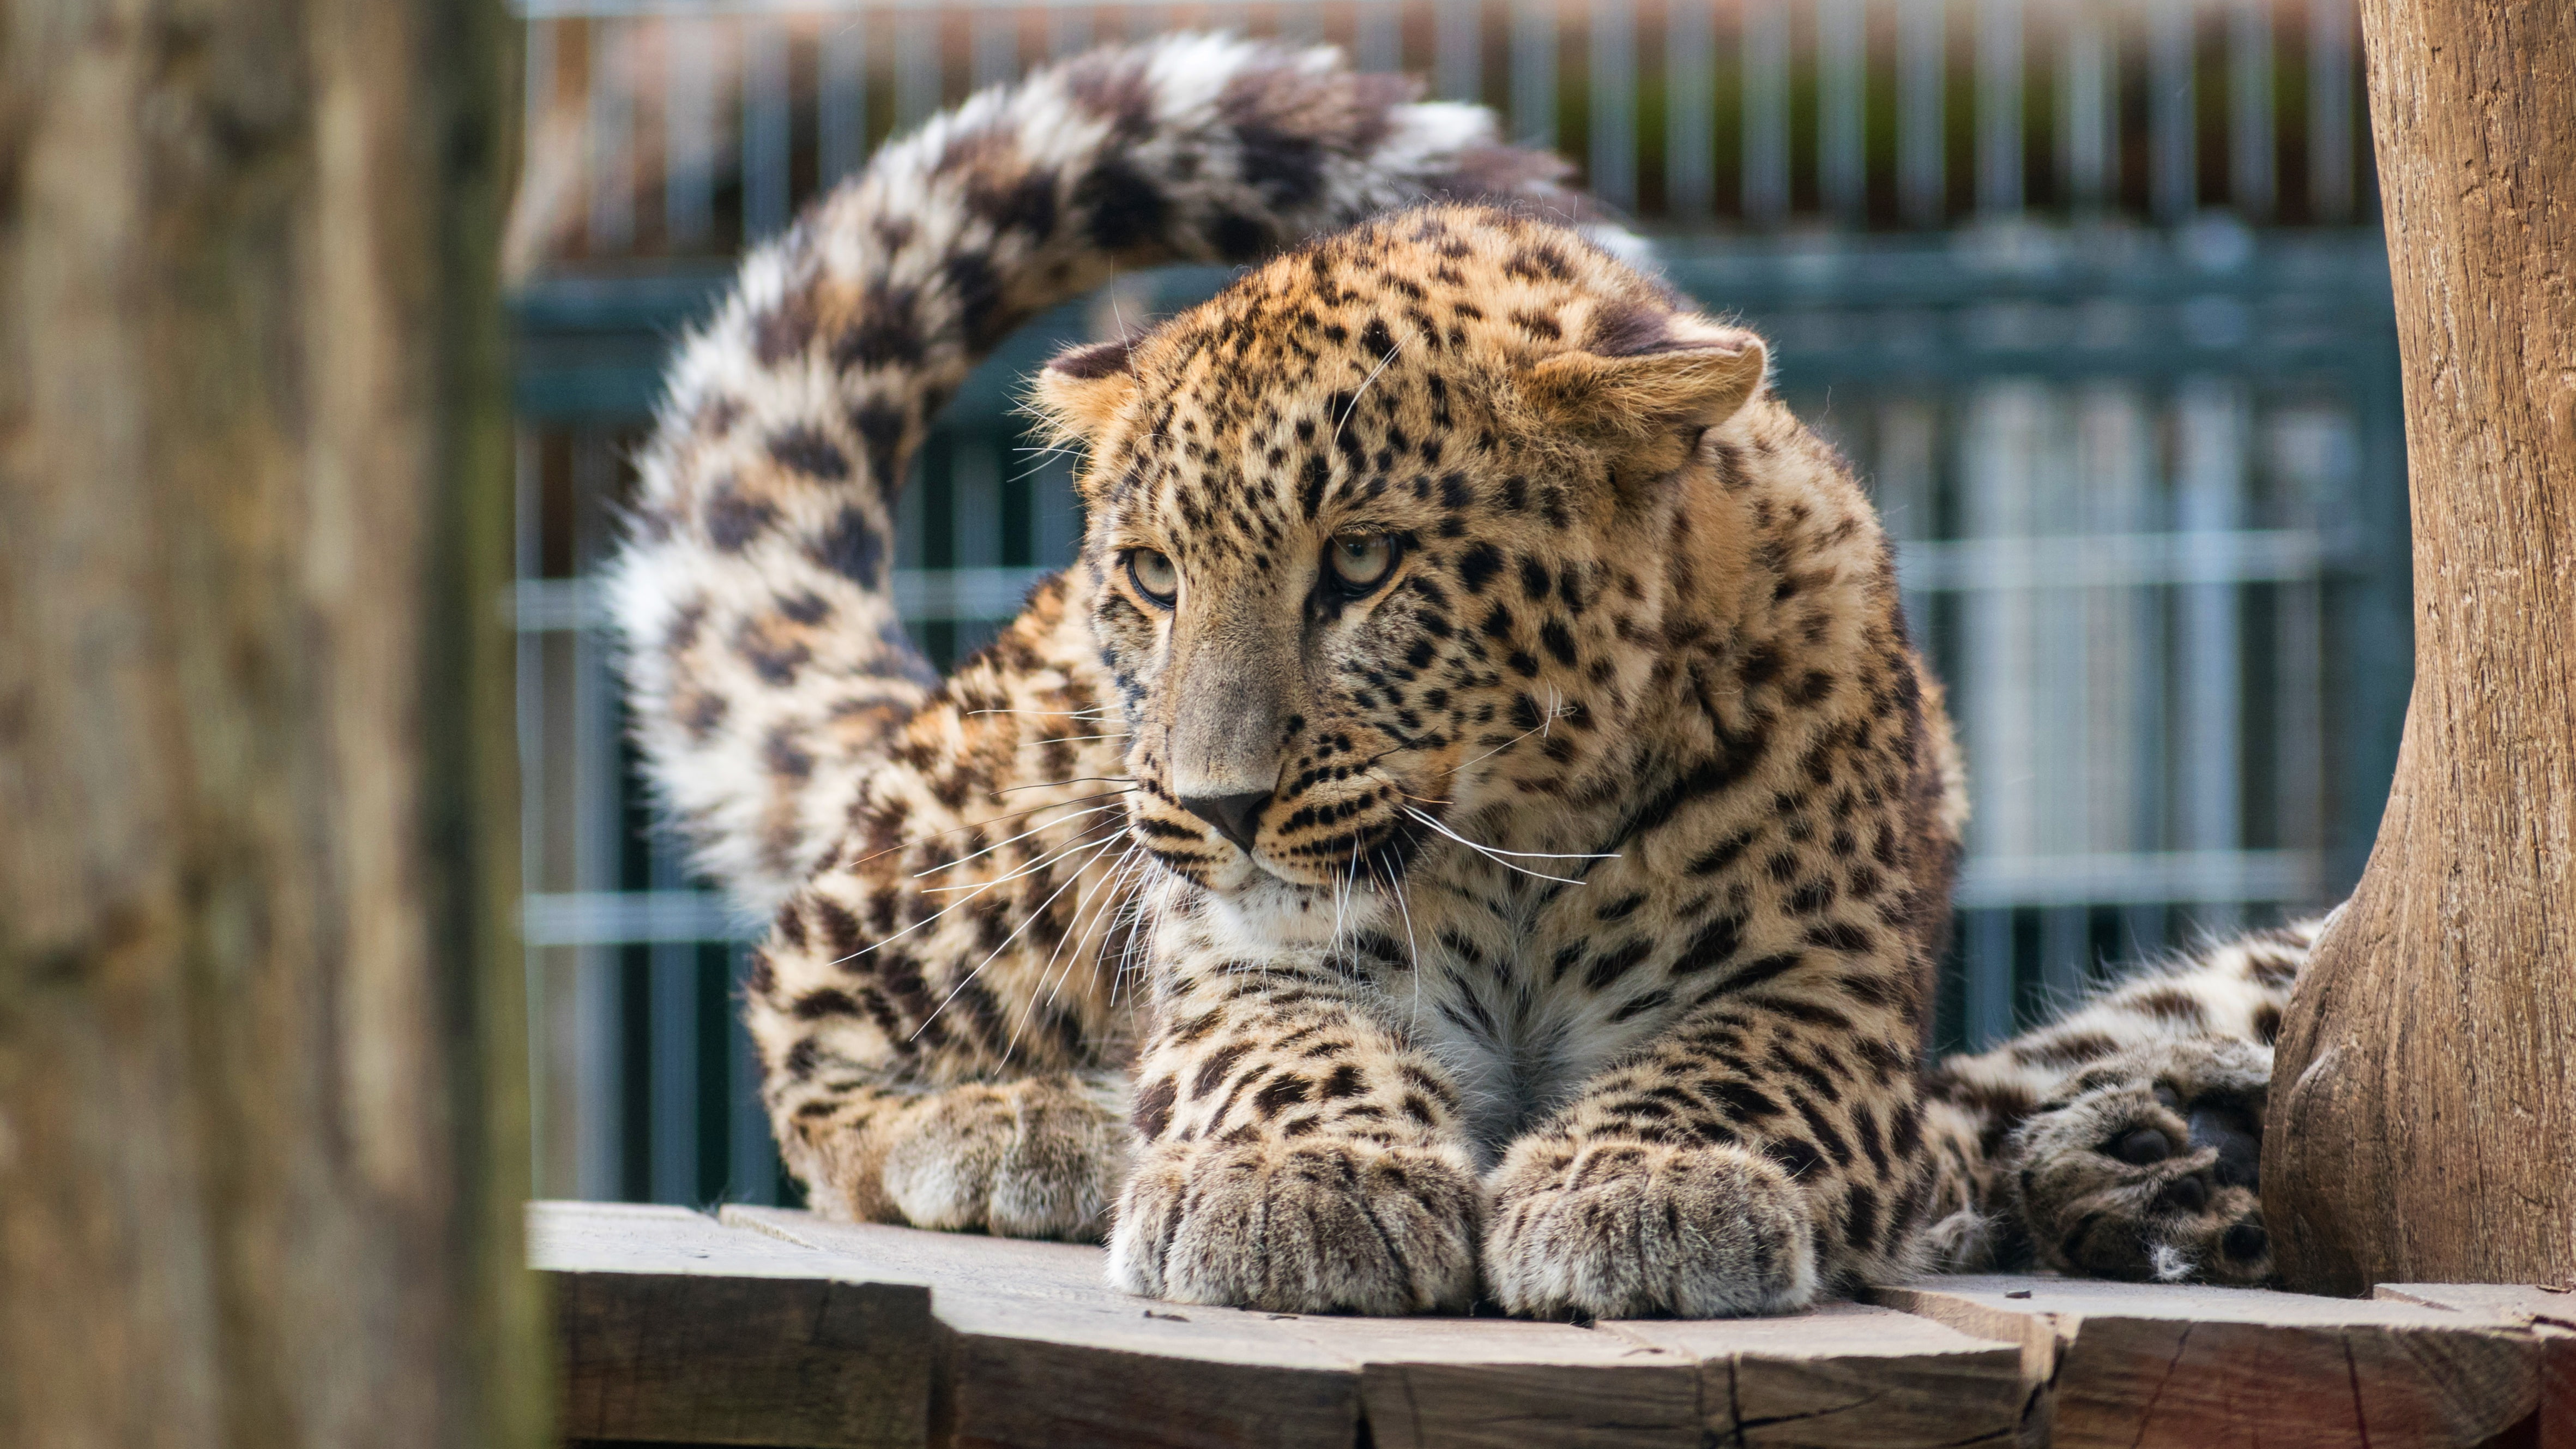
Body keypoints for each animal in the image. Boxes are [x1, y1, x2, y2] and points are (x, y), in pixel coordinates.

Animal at [608, 30, 2321, 1316]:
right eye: (1155, 577)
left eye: (1361, 565)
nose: (1218, 807)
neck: (1516, 842)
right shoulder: (1247, 953)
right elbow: (1287, 1051)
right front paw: (1303, 1184)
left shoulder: (1814, 988)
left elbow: (1726, 1073)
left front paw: (1645, 1185)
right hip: (1018, 821)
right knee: (803, 1008)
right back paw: (1029, 1127)